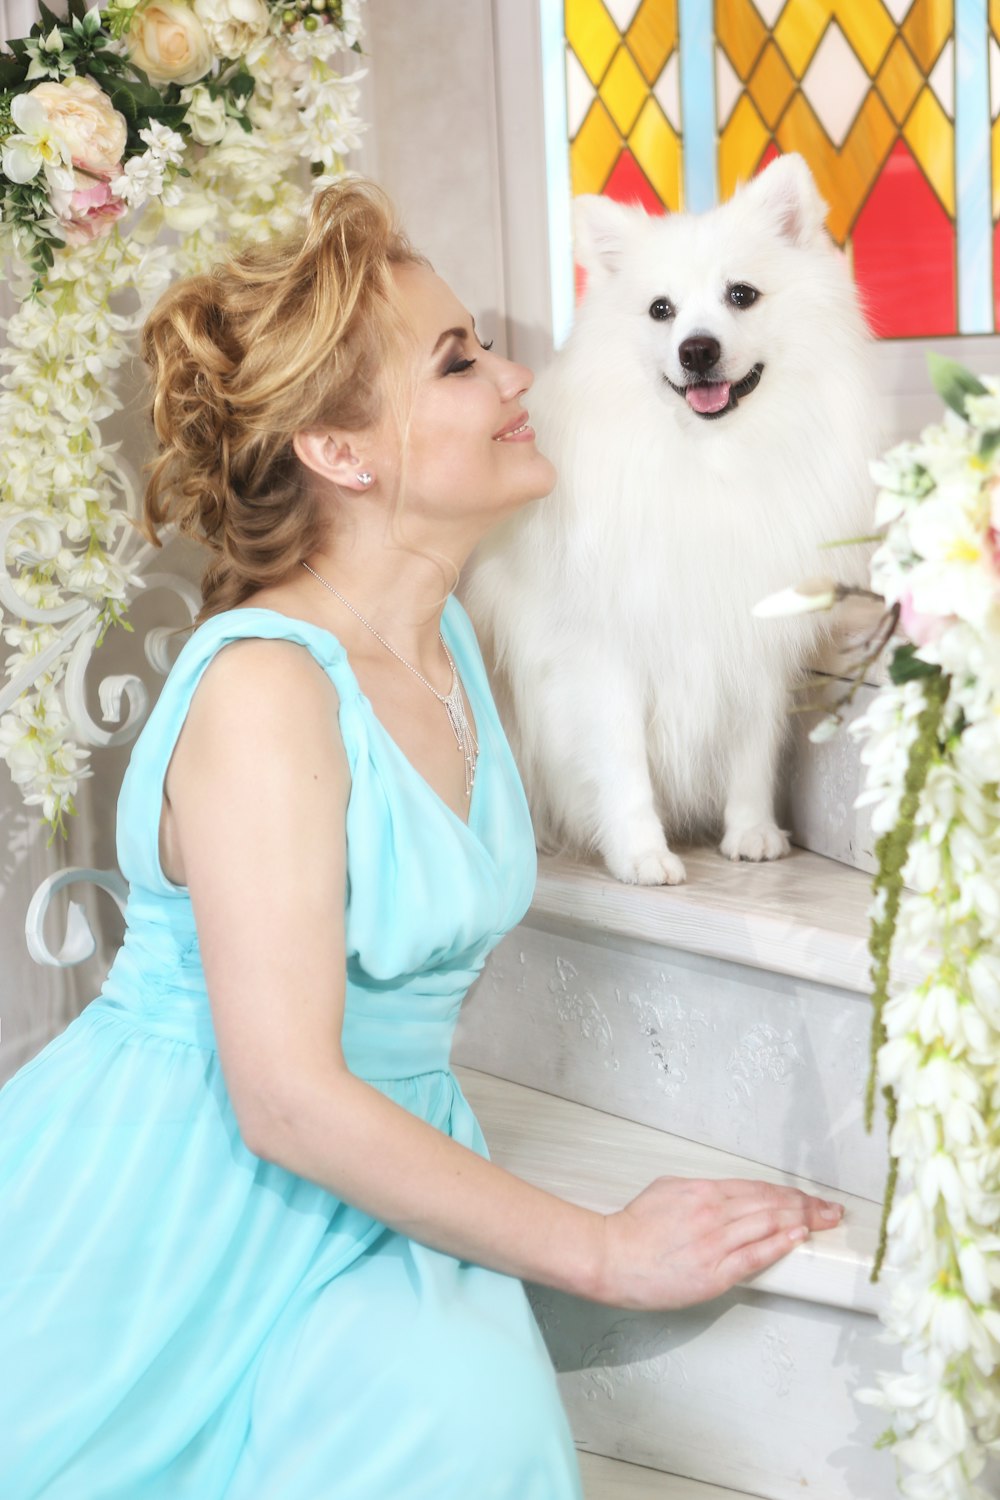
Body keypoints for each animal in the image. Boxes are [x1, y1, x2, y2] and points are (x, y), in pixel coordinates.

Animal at [464, 155, 881, 876]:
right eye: (661, 310)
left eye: (742, 295)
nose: (697, 350)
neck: (710, 463)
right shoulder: (602, 652)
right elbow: (622, 761)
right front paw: (640, 854)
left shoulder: (752, 640)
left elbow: (752, 749)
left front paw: (750, 832)